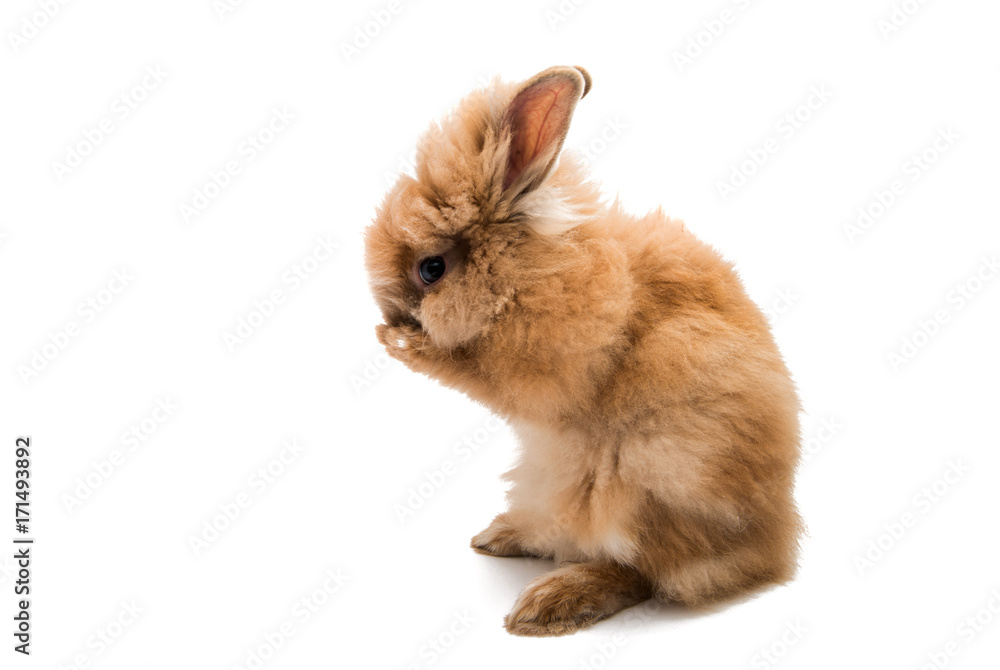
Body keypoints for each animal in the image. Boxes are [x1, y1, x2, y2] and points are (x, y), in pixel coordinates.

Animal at [364, 65, 802, 637]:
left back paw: (551, 601)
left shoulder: (551, 363)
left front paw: (401, 342)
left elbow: (478, 371)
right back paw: (501, 536)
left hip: (643, 487)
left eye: (431, 268)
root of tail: (778, 545)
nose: (388, 313)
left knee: (645, 571)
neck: (527, 272)